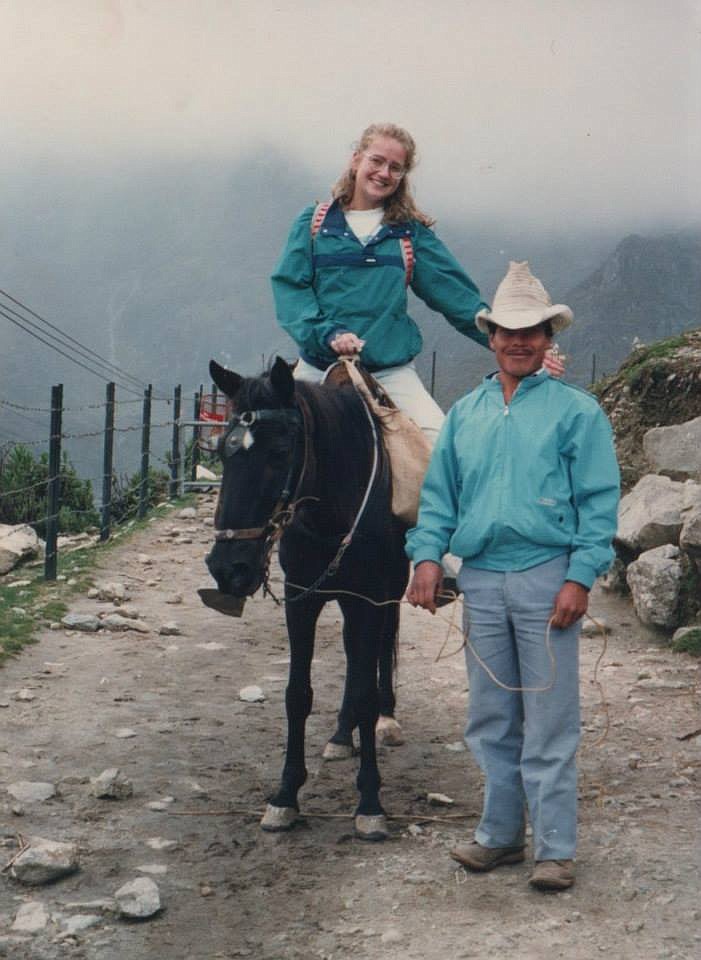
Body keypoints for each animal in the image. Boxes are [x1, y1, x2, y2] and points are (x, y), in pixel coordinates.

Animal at [205, 356, 408, 836]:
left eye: (280, 453)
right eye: (222, 452)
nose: (228, 569)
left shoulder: (367, 600)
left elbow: (366, 688)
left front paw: (369, 802)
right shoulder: (302, 600)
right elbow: (297, 694)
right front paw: (285, 796)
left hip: (389, 591)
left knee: (379, 652)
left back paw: (385, 719)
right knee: (355, 661)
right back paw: (341, 735)